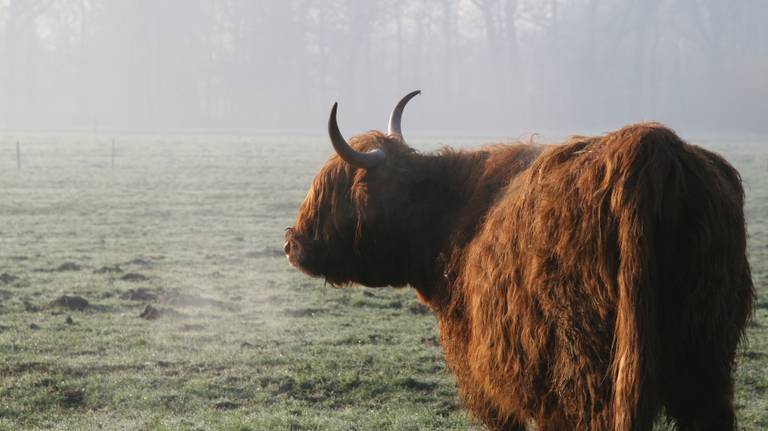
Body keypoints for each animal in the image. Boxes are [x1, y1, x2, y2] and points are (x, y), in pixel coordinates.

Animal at [284, 92, 752, 431]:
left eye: (333, 191)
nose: (292, 243)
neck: (450, 215)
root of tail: (649, 147)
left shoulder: (490, 371)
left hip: (588, 370)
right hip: (706, 356)